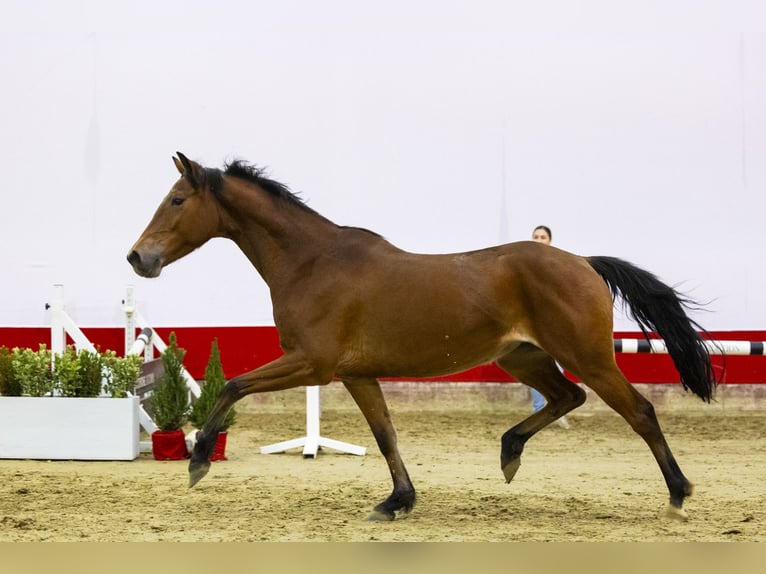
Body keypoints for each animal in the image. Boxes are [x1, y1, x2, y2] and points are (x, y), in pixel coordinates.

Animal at [127, 153, 720, 520]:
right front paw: (398, 501)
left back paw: (678, 495)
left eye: (177, 200)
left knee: (639, 411)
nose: (138, 258)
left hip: (589, 356)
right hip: (523, 358)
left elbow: (232, 385)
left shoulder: (312, 363)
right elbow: (386, 434)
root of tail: (584, 263)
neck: (312, 262)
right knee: (567, 397)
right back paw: (509, 453)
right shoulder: (355, 374)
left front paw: (199, 460)